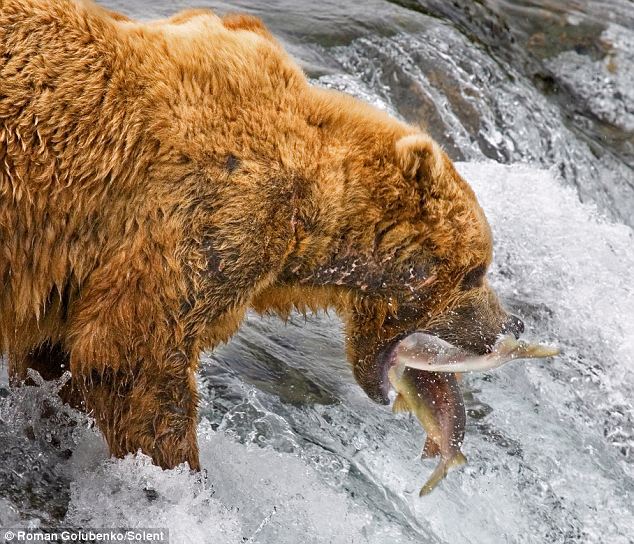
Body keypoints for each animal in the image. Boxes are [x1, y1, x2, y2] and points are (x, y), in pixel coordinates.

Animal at [1, 0, 524, 470]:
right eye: (475, 271)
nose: (509, 325)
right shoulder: (205, 214)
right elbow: (134, 356)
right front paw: (181, 474)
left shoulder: (78, 269)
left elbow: (61, 352)